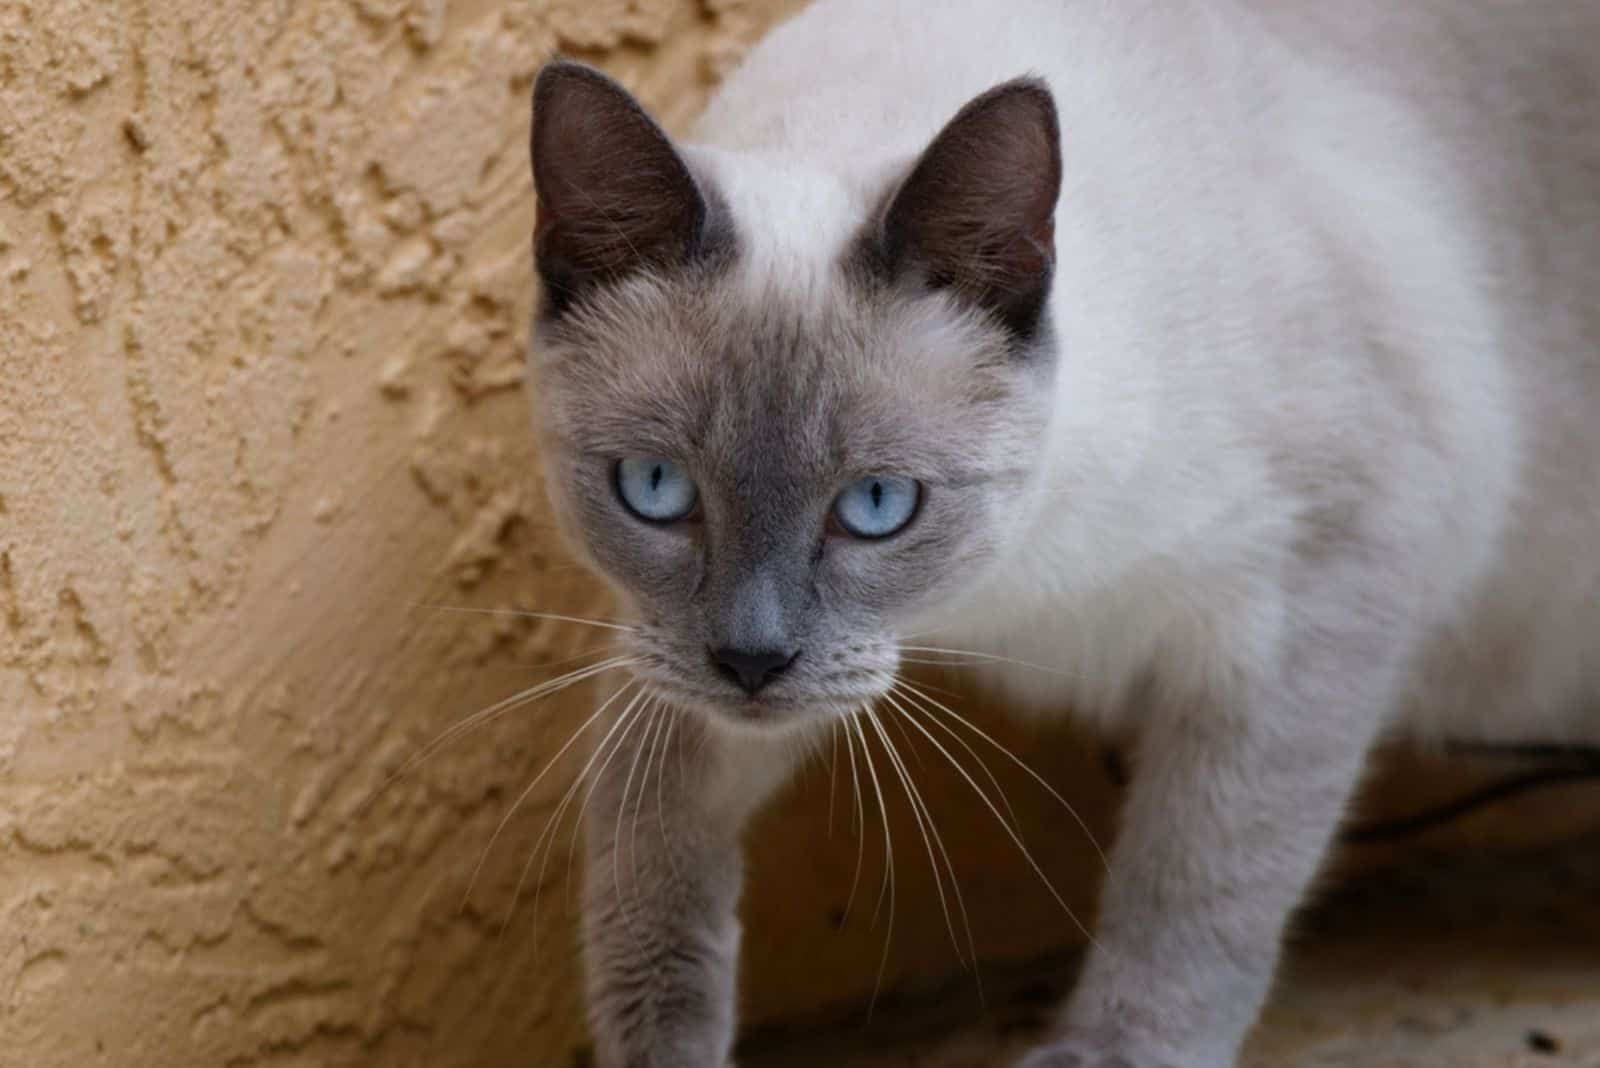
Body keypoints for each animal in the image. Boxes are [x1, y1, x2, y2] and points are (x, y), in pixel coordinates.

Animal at [518, 2, 1600, 1068]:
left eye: (876, 504)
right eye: (655, 489)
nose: (752, 660)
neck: (1010, 591)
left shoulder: (1316, 594)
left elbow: (1199, 887)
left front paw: (1106, 1052)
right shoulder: (664, 667)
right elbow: (649, 896)